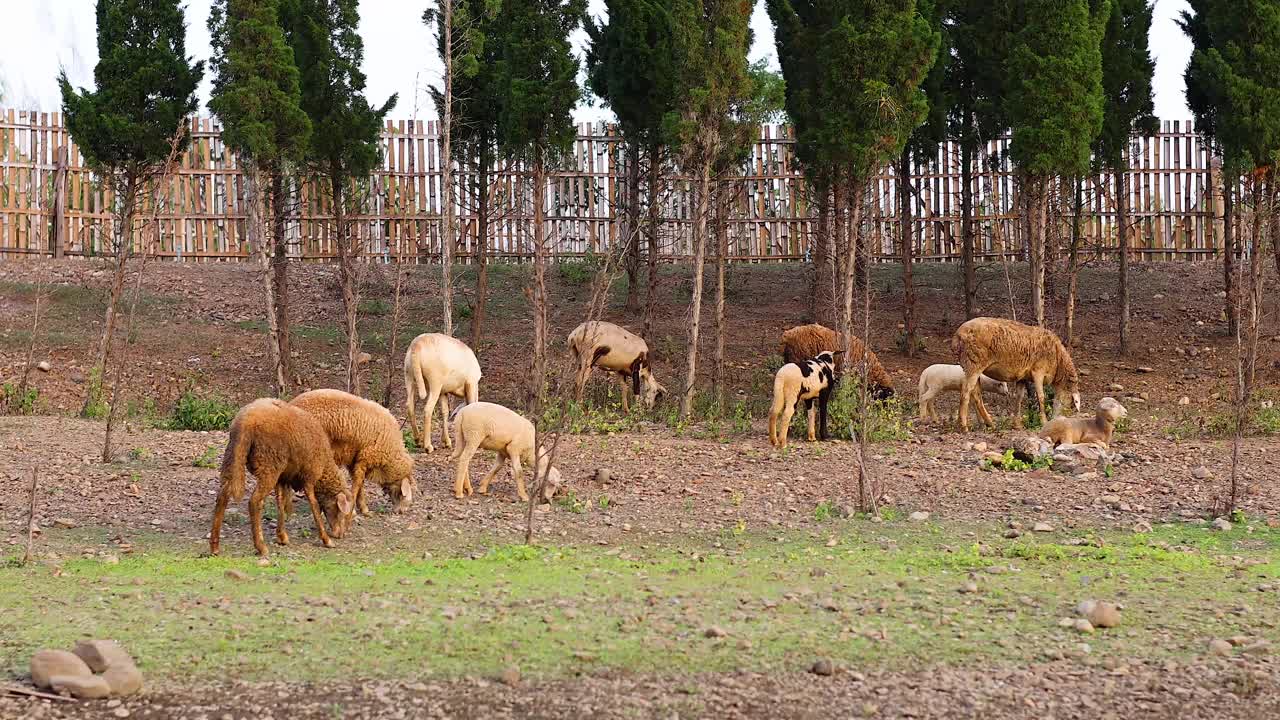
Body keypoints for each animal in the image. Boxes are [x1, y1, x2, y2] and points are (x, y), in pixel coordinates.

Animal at [208, 397, 353, 556]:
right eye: (343, 513)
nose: (340, 535)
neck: (325, 469)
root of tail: (246, 421)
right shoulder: (309, 477)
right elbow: (314, 506)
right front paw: (326, 540)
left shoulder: (282, 478)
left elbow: (281, 503)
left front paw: (282, 536)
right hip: (268, 465)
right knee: (254, 502)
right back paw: (260, 546)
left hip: (234, 456)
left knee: (223, 496)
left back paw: (215, 547)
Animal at [952, 315, 1080, 427]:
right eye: (1071, 404)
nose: (1058, 420)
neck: (1059, 361)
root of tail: (958, 335)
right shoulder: (1038, 371)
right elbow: (1041, 397)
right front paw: (1044, 421)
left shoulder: (1022, 377)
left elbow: (1019, 397)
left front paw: (1017, 424)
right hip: (973, 364)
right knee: (966, 391)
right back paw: (963, 425)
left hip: (973, 367)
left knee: (976, 394)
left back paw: (989, 423)